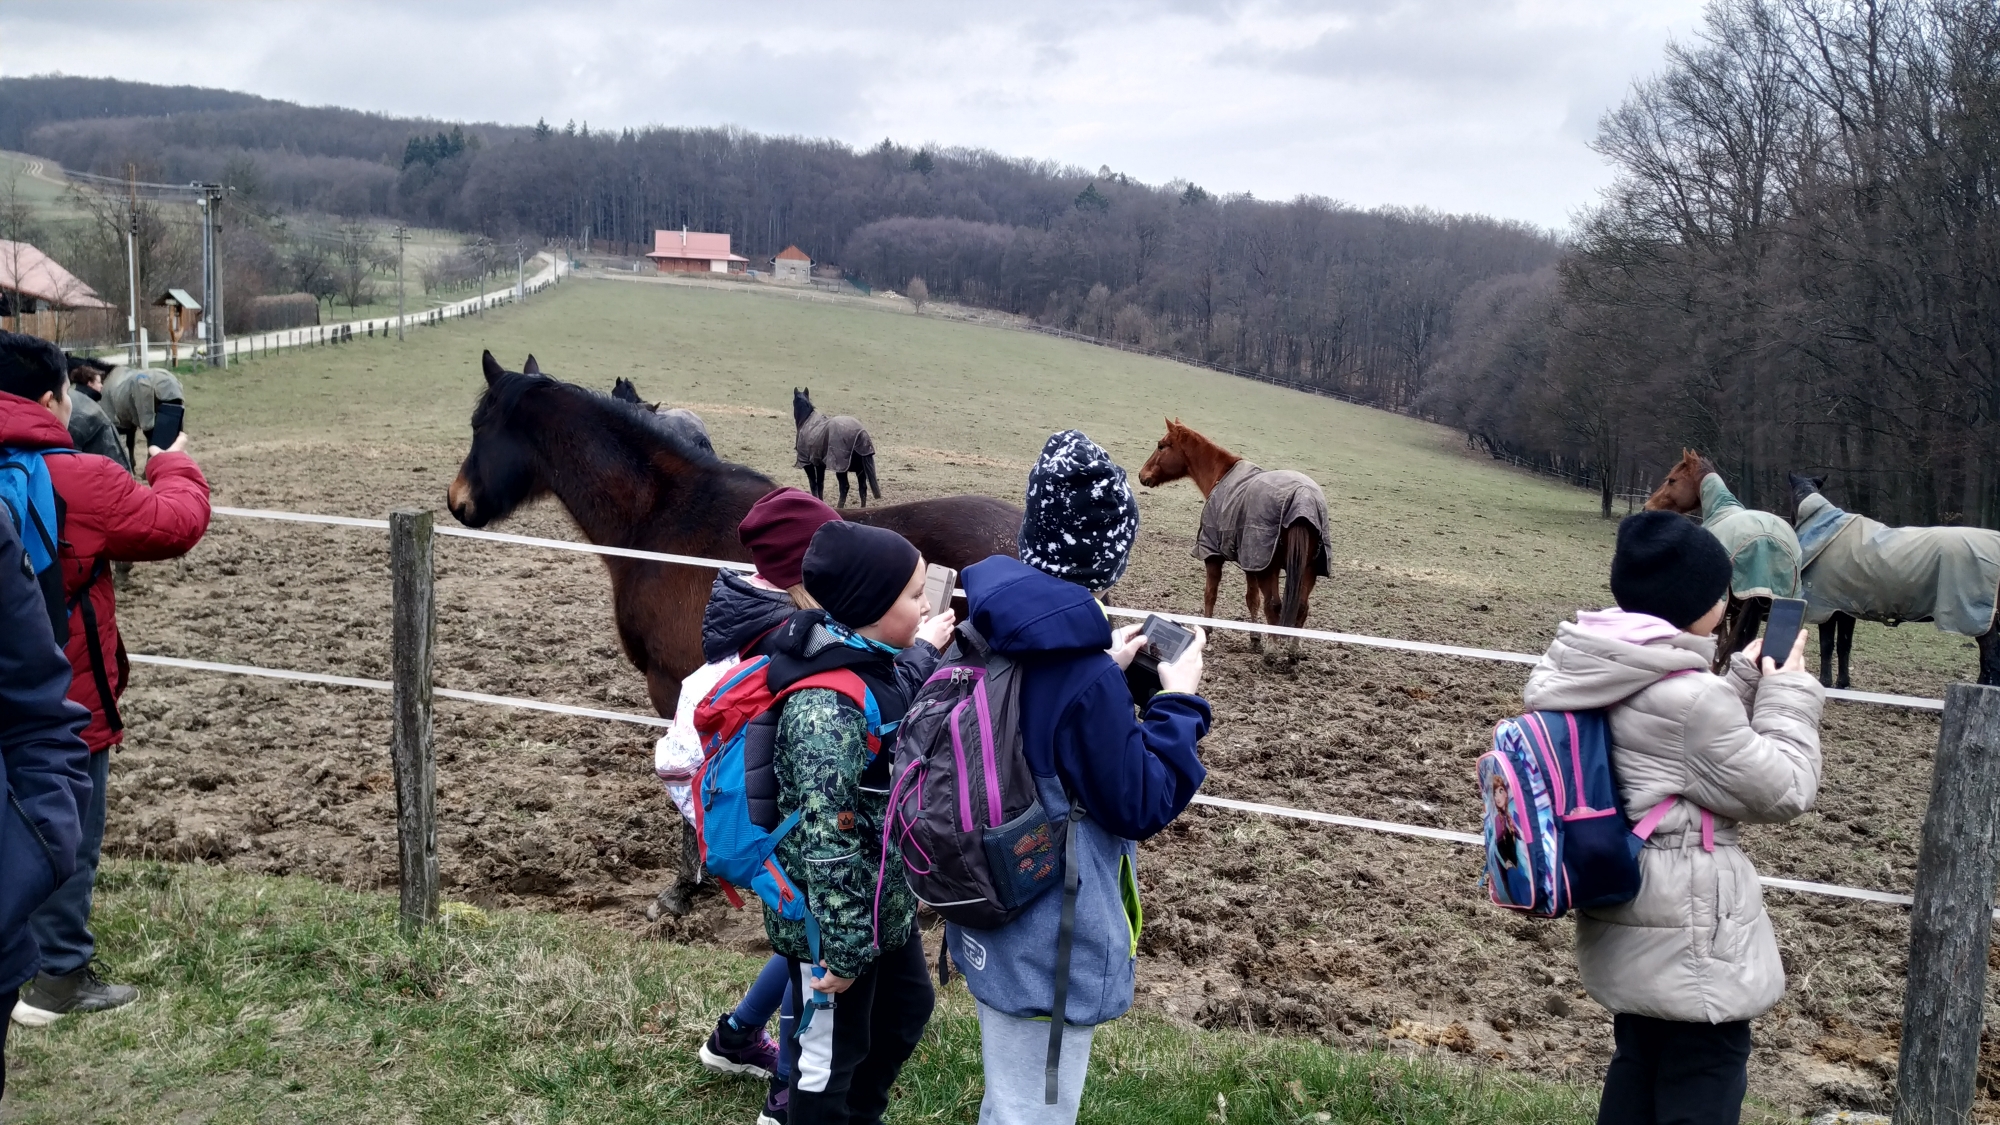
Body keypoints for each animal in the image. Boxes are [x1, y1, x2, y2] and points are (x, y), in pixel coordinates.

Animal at [1137, 419, 1328, 650]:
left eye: (1161, 446)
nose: (1142, 475)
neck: (1221, 475)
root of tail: (1302, 496)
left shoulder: (1213, 555)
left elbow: (1210, 593)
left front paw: (1207, 631)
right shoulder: (1250, 562)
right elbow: (1252, 599)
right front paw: (1254, 637)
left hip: (1271, 570)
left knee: (1274, 604)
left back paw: (1272, 651)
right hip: (1308, 569)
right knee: (1301, 606)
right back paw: (1293, 650)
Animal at [1787, 473, 2000, 689]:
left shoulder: (1828, 609)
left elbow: (1827, 645)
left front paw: (1825, 682)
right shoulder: (1845, 608)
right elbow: (1844, 645)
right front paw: (1843, 683)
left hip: (1979, 618)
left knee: (1990, 651)